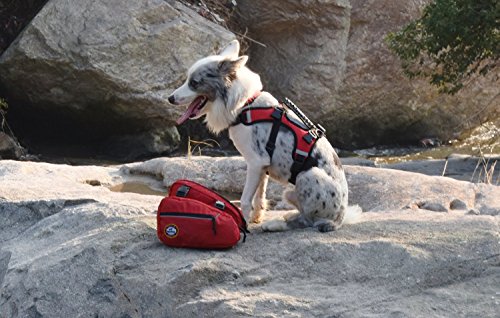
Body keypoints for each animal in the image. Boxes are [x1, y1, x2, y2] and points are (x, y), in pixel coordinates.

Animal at [168, 41, 360, 232]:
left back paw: (276, 224)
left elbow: (245, 200)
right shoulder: (262, 166)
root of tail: (339, 219)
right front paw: (256, 218)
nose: (170, 98)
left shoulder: (255, 162)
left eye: (194, 83)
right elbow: (259, 196)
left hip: (307, 175)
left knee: (308, 221)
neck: (245, 105)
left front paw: (244, 224)